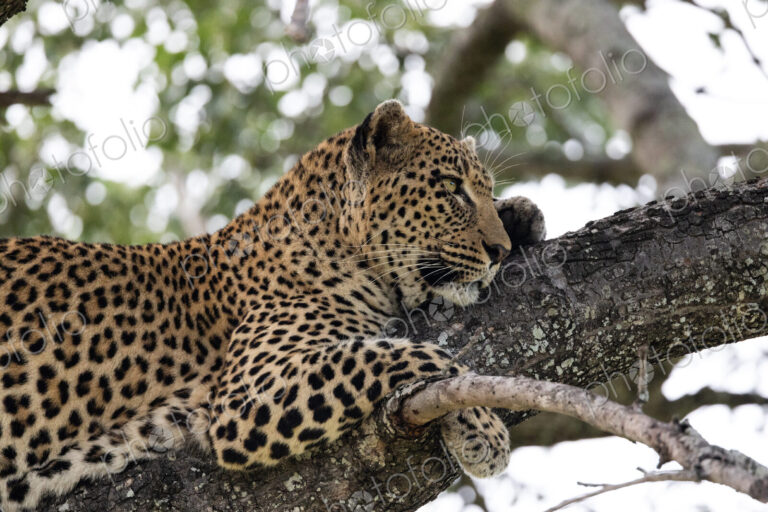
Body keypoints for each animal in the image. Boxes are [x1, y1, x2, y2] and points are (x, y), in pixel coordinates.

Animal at [0, 100, 545, 511]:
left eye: (485, 189)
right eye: (451, 189)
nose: (498, 252)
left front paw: (520, 215)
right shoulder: (247, 397)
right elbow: (410, 354)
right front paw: (482, 428)